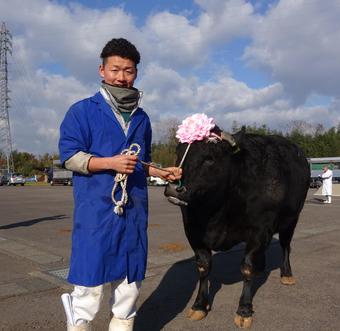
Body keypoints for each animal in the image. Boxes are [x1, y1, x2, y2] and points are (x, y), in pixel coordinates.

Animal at [165, 128, 310, 328]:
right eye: (177, 151)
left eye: (210, 157)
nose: (173, 188)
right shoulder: (193, 231)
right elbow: (203, 267)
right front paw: (199, 306)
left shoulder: (259, 230)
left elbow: (247, 268)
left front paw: (244, 310)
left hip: (292, 219)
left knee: (285, 246)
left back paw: (287, 274)